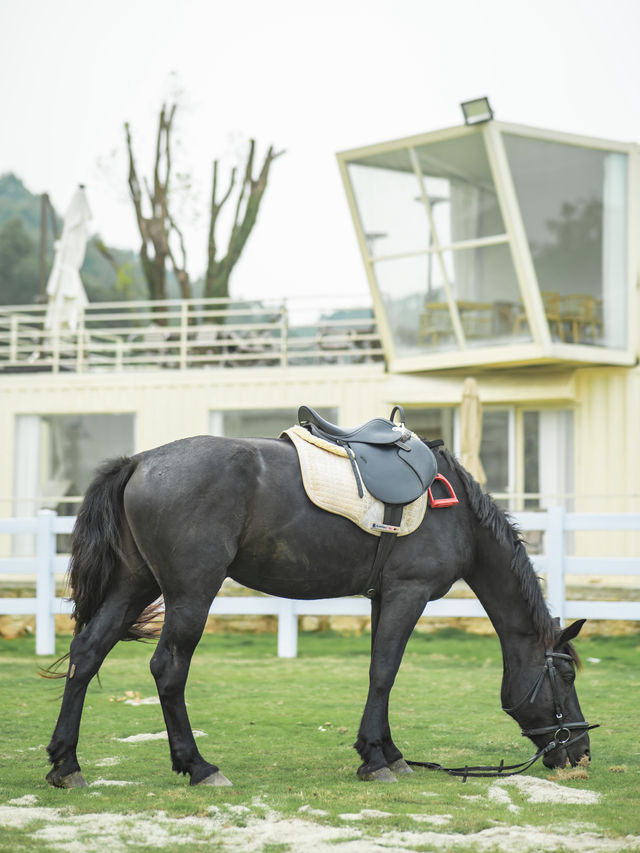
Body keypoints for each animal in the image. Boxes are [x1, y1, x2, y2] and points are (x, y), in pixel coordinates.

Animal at [46, 436, 592, 788]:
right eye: (565, 675)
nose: (581, 752)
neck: (454, 512)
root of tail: (139, 461)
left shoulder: (382, 598)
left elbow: (378, 672)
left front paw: (387, 752)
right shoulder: (407, 594)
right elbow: (385, 672)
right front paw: (376, 758)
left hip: (134, 585)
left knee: (87, 653)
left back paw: (65, 764)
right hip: (190, 593)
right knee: (168, 668)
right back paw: (198, 766)